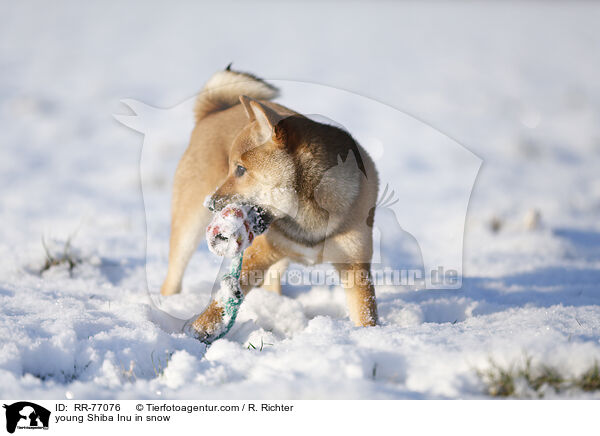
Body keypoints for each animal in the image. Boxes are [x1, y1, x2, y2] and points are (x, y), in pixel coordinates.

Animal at [162, 66, 378, 336]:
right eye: (231, 167)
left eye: (240, 169)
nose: (211, 203)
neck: (308, 218)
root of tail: (213, 111)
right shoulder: (257, 254)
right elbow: (221, 301)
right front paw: (199, 331)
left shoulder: (355, 265)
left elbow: (365, 314)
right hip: (189, 228)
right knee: (172, 277)